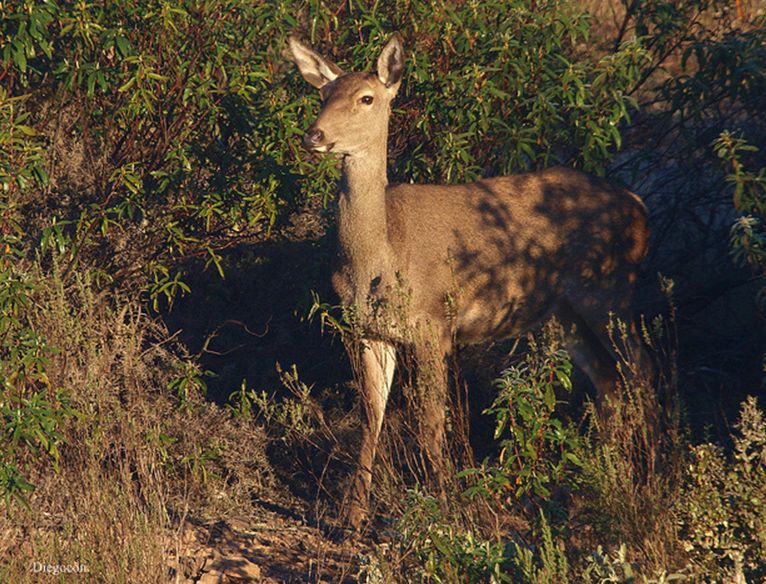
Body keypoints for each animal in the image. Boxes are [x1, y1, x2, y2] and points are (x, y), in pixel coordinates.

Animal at [287, 34, 650, 530]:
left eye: (366, 98)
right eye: (324, 94)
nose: (314, 136)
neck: (380, 256)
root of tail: (639, 207)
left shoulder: (434, 324)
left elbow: (430, 422)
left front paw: (442, 503)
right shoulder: (369, 331)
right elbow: (370, 417)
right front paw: (352, 516)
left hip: (609, 289)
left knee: (643, 372)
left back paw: (653, 479)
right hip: (565, 312)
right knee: (609, 382)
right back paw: (599, 482)